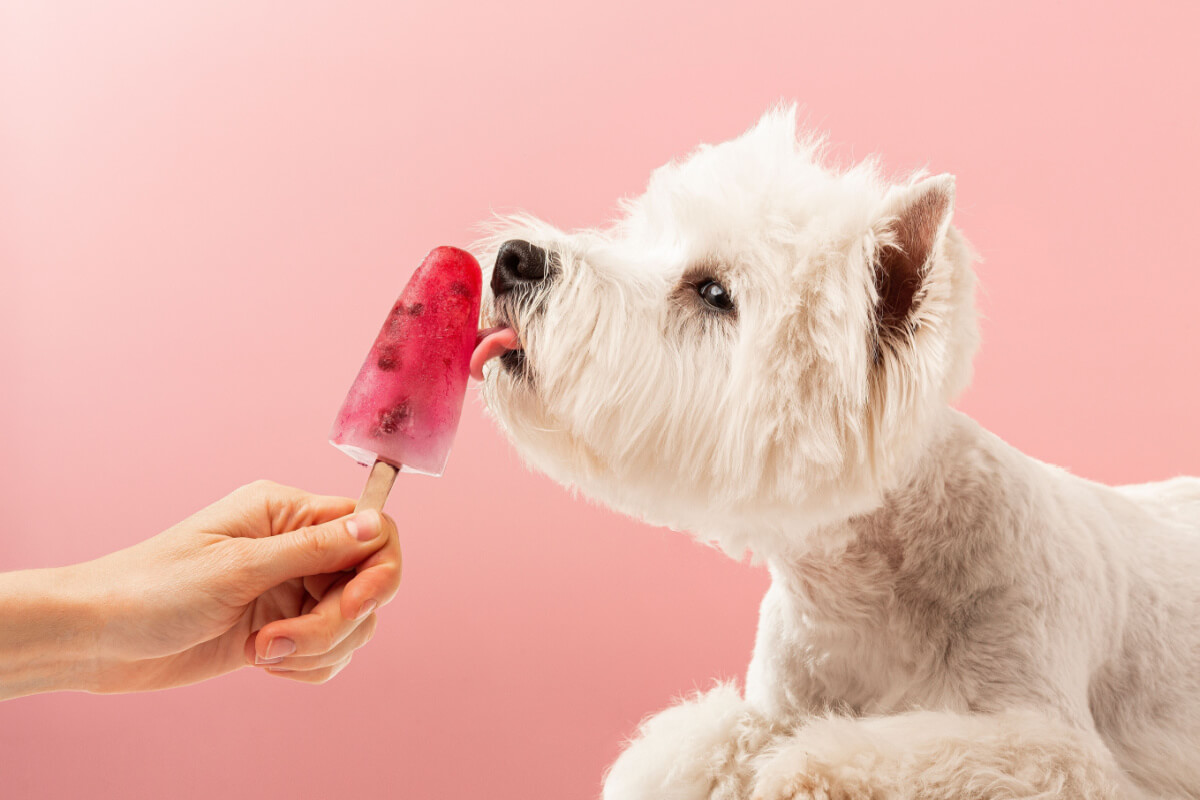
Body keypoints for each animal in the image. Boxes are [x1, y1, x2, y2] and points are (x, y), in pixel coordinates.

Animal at [468, 107, 1200, 800]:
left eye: (714, 293)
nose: (513, 258)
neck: (864, 593)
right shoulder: (778, 695)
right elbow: (698, 742)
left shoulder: (1054, 744)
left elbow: (892, 758)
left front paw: (803, 769)